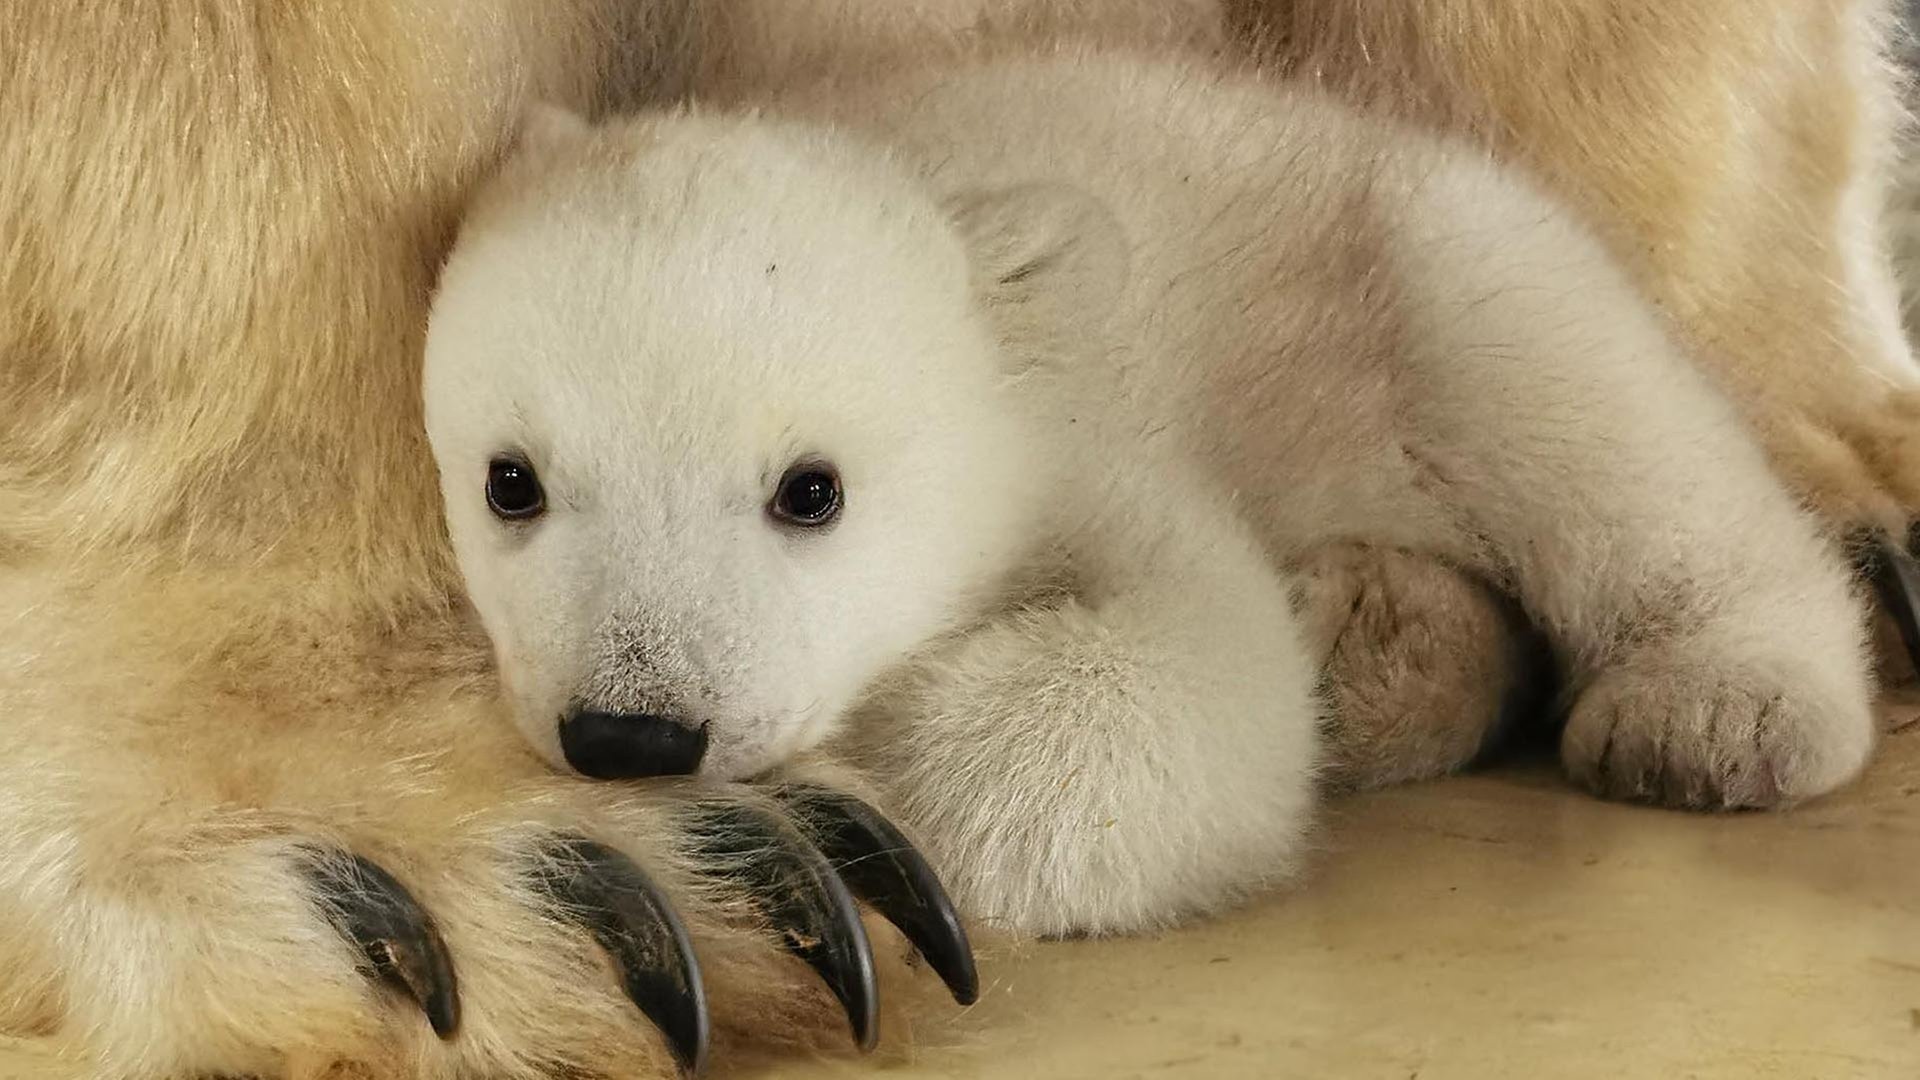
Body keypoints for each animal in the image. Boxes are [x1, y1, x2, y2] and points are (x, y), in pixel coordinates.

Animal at [0, 2, 1912, 1076]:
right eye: (511, 479)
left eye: (811, 489)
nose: (637, 733)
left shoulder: (1092, 422)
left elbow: (1196, 679)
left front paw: (857, 799)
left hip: (1402, 254)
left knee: (1581, 394)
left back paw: (1720, 701)